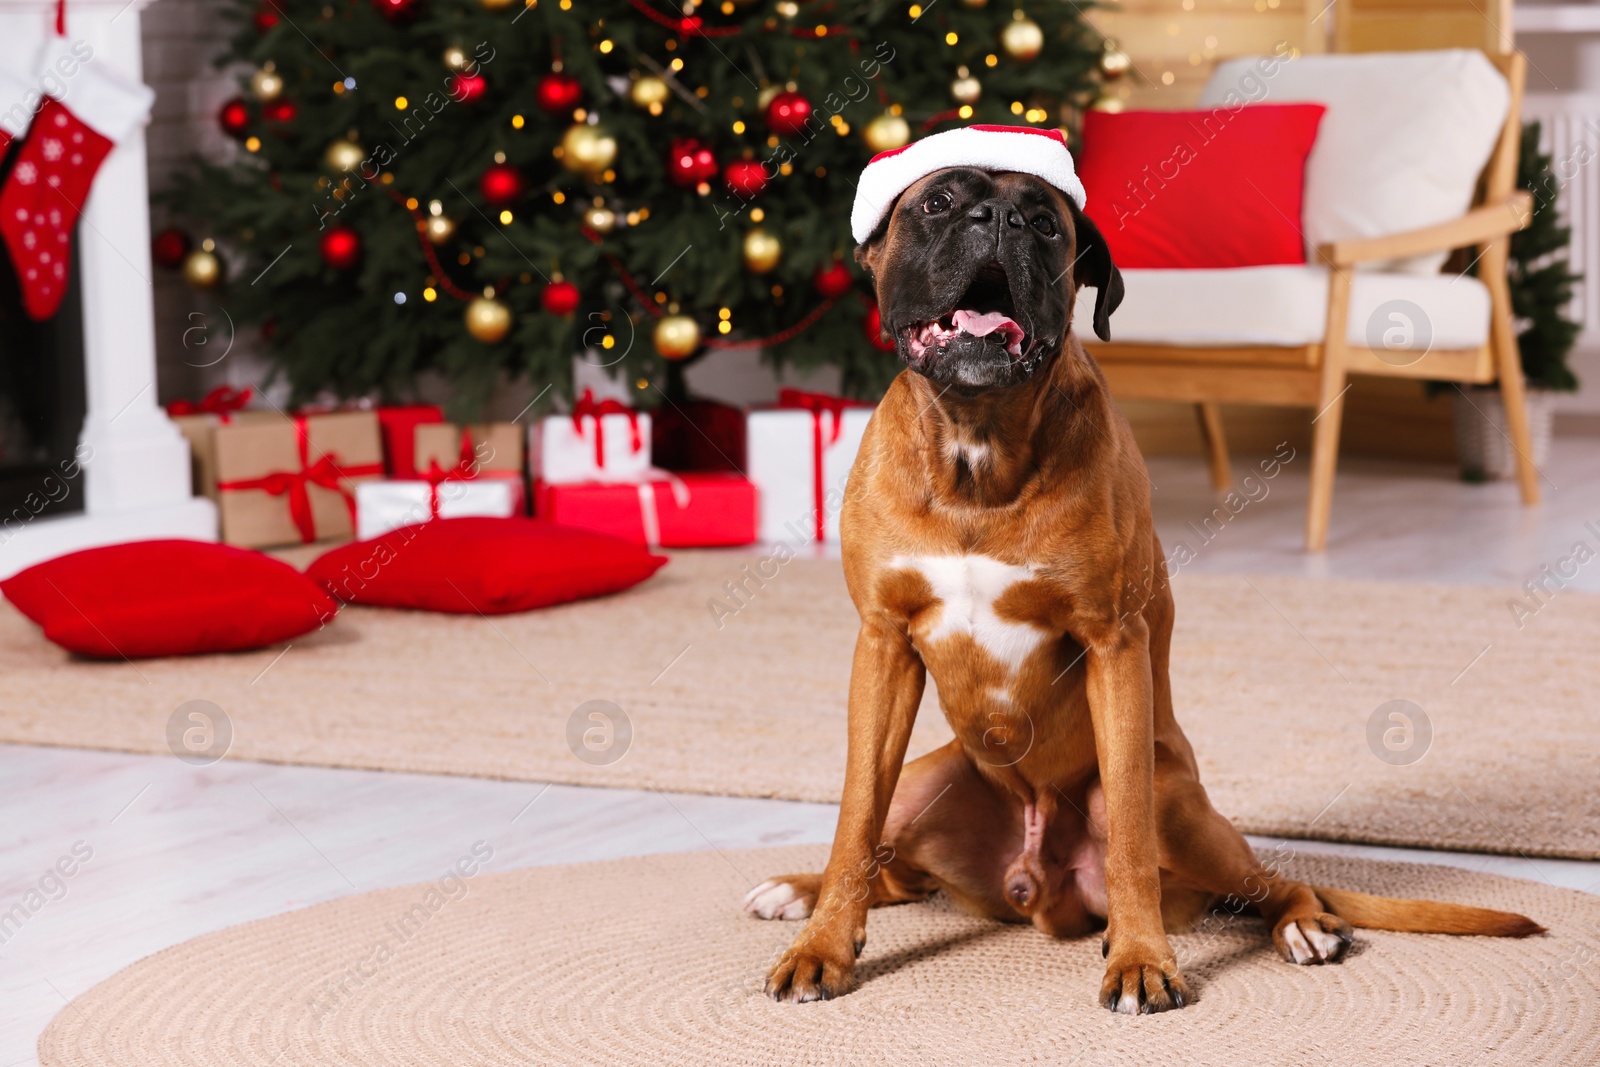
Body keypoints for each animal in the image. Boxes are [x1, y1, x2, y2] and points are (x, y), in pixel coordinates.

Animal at [742, 129, 1542, 1017]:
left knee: (1273, 881)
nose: (999, 221)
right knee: (895, 864)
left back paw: (1305, 927)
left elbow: (1125, 827)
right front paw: (821, 944)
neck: (976, 450)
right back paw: (798, 888)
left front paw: (1140, 958)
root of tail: (1034, 888)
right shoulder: (882, 645)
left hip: (1178, 808)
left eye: (1046, 224)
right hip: (924, 783)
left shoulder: (1113, 648)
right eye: (940, 202)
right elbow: (854, 817)